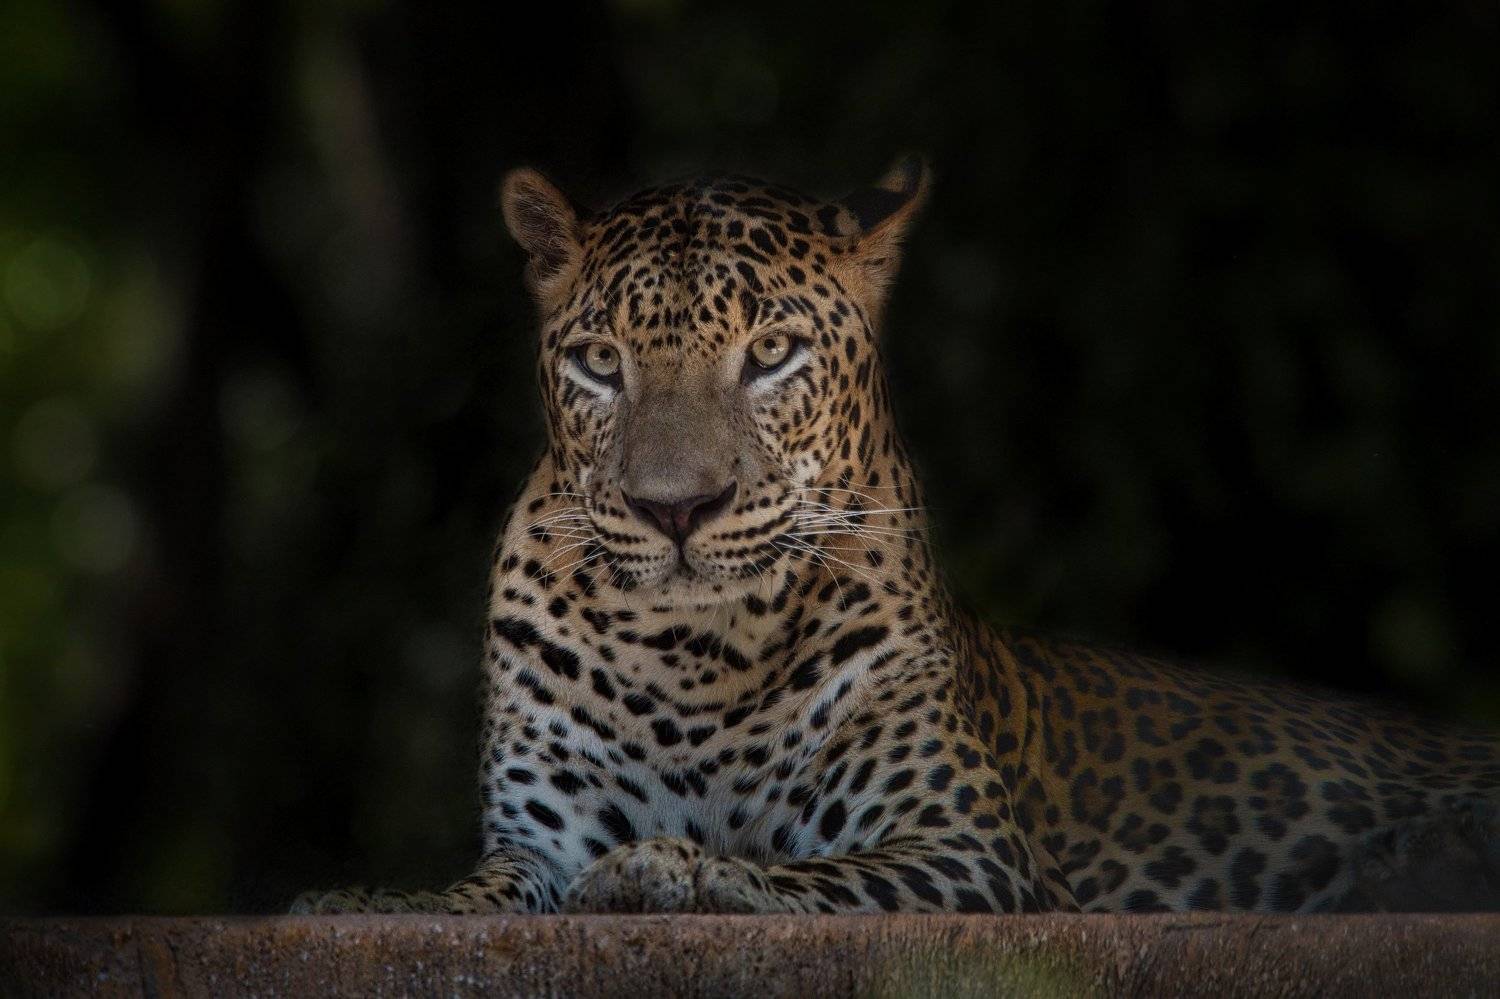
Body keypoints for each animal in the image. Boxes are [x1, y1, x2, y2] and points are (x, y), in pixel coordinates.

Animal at [293, 157, 1500, 917]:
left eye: (770, 353)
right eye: (599, 363)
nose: (676, 510)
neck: (693, 660)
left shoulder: (970, 849)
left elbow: (814, 875)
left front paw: (677, 872)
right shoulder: (539, 835)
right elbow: (481, 889)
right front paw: (381, 900)